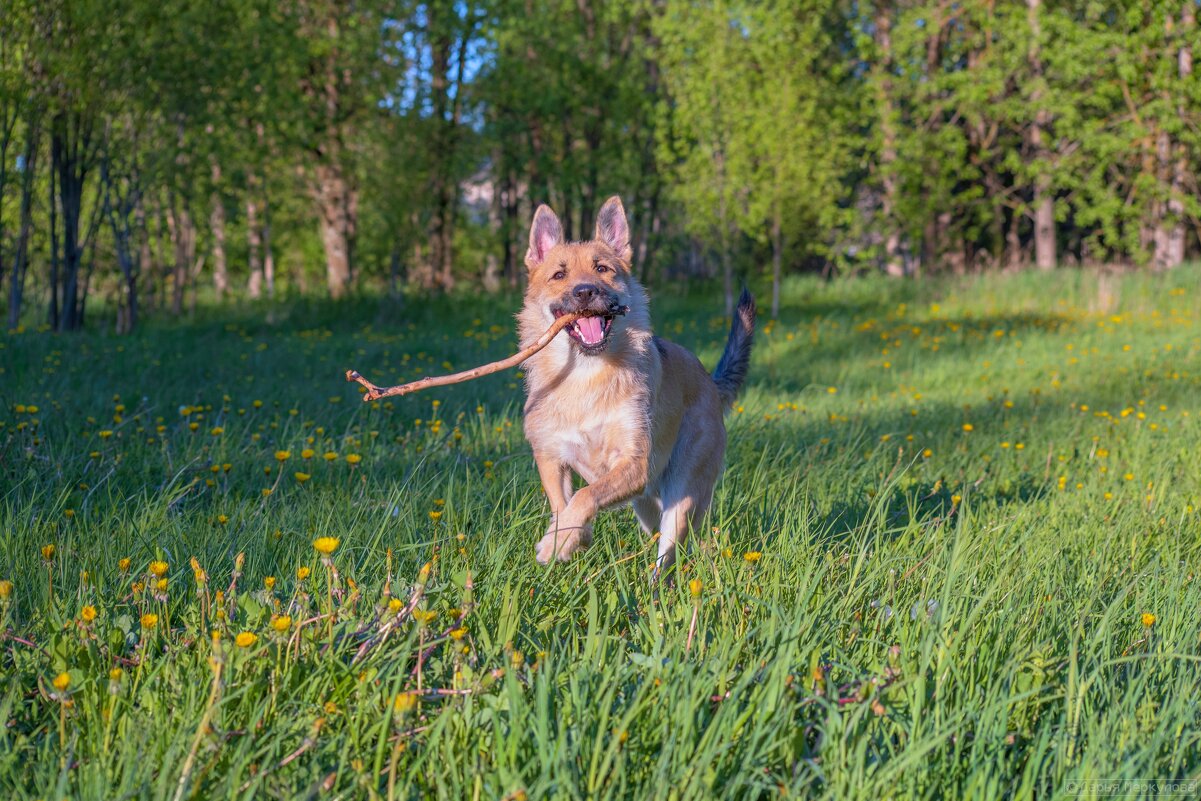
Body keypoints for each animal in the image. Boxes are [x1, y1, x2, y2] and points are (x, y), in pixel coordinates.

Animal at [521, 194, 754, 574]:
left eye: (602, 269)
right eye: (559, 274)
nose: (585, 292)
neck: (585, 374)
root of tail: (709, 381)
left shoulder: (634, 464)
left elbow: (585, 495)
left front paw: (558, 543)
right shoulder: (551, 457)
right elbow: (563, 504)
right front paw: (568, 538)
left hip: (680, 493)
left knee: (671, 552)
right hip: (646, 505)